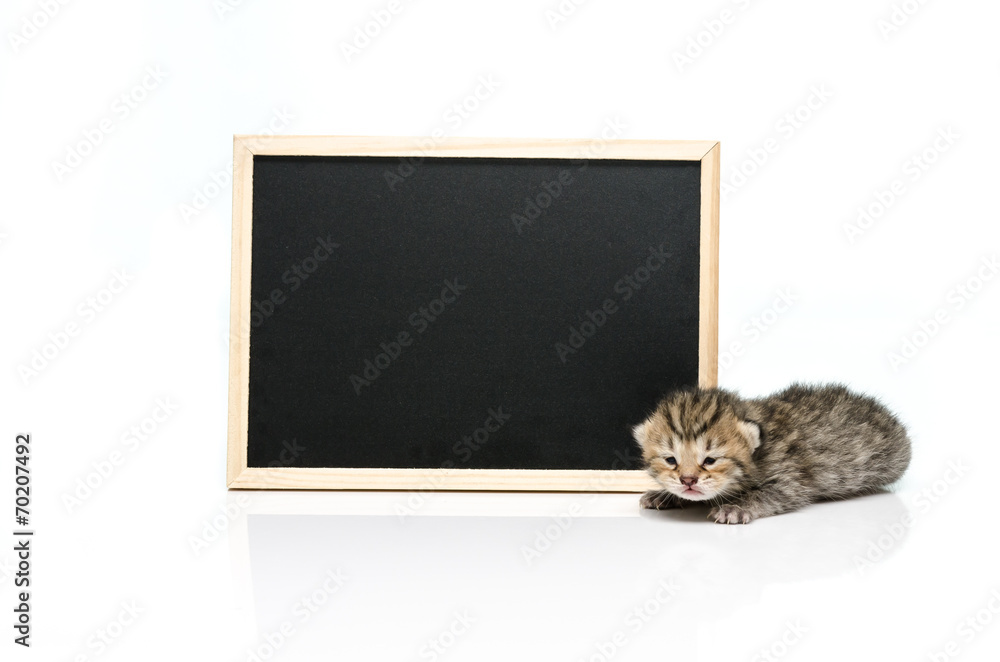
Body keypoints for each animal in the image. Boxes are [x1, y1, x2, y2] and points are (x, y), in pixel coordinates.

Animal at [636, 384, 912, 524]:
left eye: (710, 460)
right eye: (671, 460)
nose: (688, 480)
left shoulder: (791, 479)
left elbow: (769, 493)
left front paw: (735, 507)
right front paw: (664, 495)